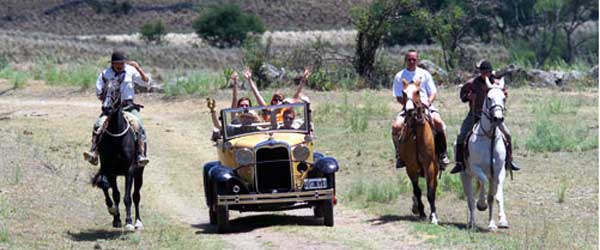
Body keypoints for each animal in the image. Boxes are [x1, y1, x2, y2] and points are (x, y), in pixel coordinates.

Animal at [92, 77, 146, 230]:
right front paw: (116, 217)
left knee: (136, 195)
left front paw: (128, 222)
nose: (106, 108)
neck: (117, 137)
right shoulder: (109, 171)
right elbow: (114, 193)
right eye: (103, 90)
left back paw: (138, 221)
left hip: (139, 172)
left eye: (117, 89)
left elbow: (127, 197)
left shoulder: (130, 170)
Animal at [398, 79, 440, 225]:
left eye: (417, 91)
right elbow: (417, 190)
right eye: (403, 92)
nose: (409, 110)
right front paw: (421, 212)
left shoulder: (430, 166)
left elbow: (430, 192)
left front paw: (434, 216)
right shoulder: (410, 167)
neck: (416, 133)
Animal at [462, 77, 508, 231]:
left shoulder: (499, 171)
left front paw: (502, 221)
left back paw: (491, 224)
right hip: (465, 175)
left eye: (504, 98)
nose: (498, 119)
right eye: (489, 98)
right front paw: (481, 204)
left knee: (491, 198)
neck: (489, 137)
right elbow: (481, 181)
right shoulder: (476, 168)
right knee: (470, 199)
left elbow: (497, 196)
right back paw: (472, 223)